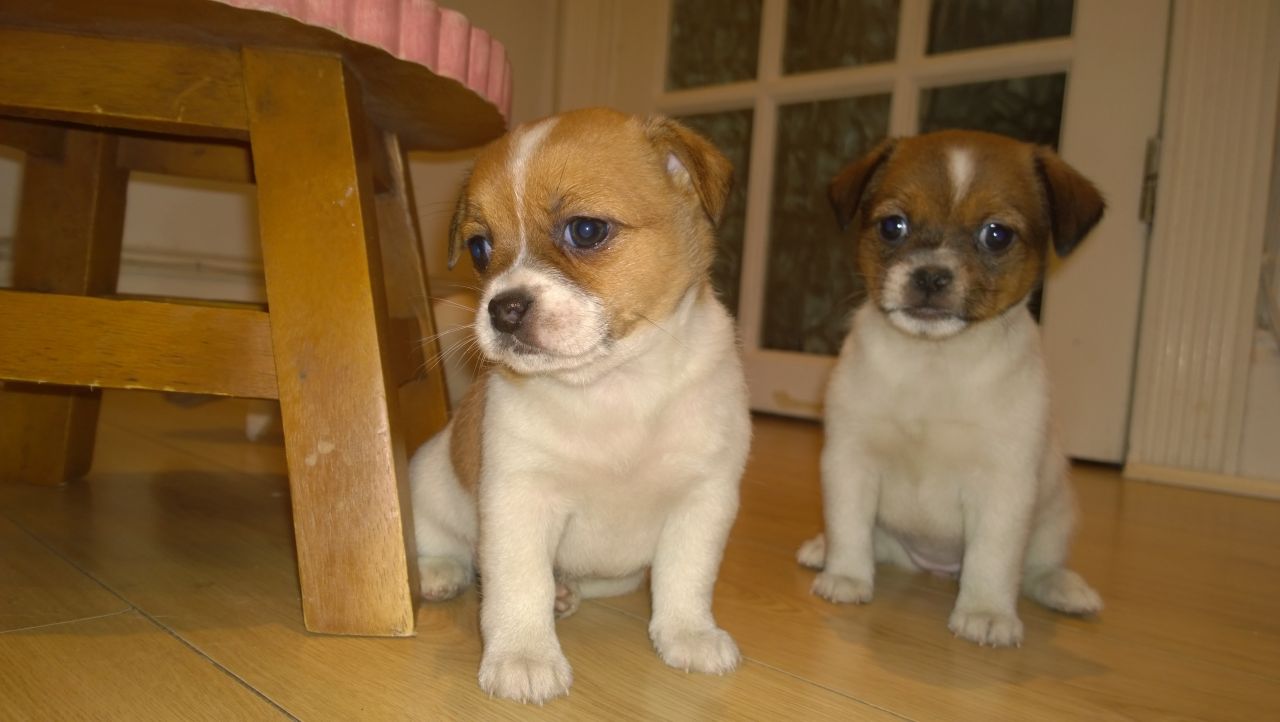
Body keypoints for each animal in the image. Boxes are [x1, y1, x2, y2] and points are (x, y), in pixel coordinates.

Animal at [409, 108, 747, 706]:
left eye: (586, 230)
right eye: (479, 248)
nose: (502, 309)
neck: (614, 385)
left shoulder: (703, 500)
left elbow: (686, 577)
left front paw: (688, 633)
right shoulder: (520, 500)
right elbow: (519, 584)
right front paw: (523, 655)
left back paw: (566, 593)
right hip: (427, 478)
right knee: (440, 541)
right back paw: (441, 573)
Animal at [798, 129, 1111, 647]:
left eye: (997, 234)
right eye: (893, 227)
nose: (930, 275)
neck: (934, 362)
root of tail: (937, 569)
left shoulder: (1004, 484)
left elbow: (993, 557)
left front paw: (985, 611)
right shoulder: (850, 460)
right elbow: (849, 527)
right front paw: (845, 575)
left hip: (1056, 517)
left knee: (1038, 568)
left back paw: (1065, 589)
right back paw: (824, 551)